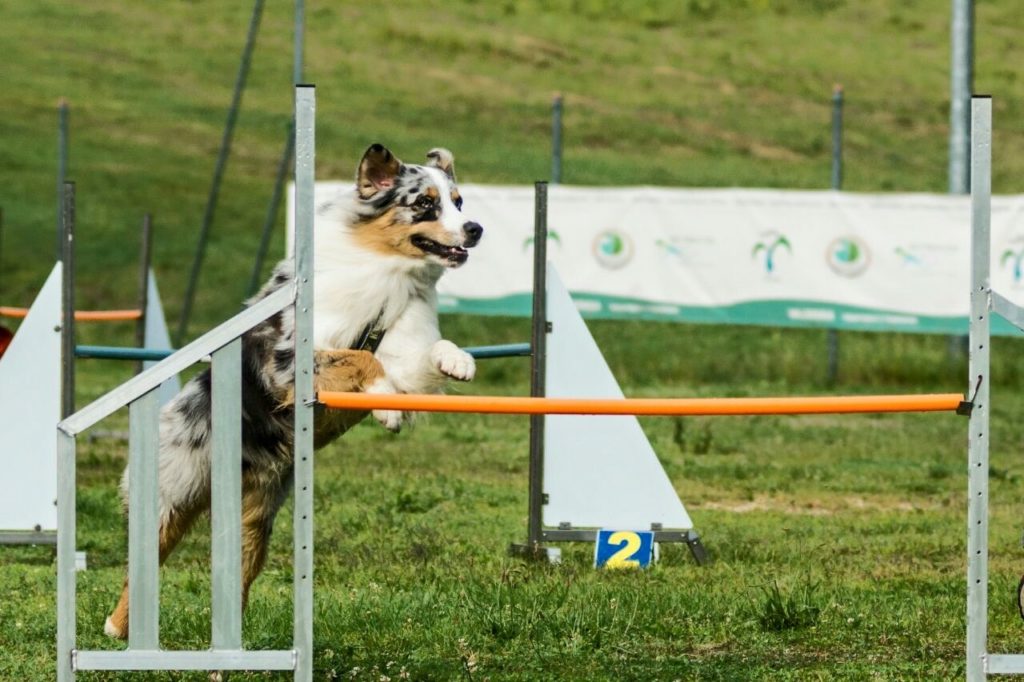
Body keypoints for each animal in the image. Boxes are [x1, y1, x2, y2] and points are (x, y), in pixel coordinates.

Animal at [105, 143, 481, 638]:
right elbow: (362, 359)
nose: (475, 229)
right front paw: (386, 410)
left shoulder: (404, 352)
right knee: (143, 563)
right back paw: (117, 625)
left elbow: (423, 355)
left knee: (239, 571)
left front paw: (458, 361)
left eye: (459, 201)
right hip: (173, 491)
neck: (387, 269)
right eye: (424, 203)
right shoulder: (288, 362)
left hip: (255, 517)